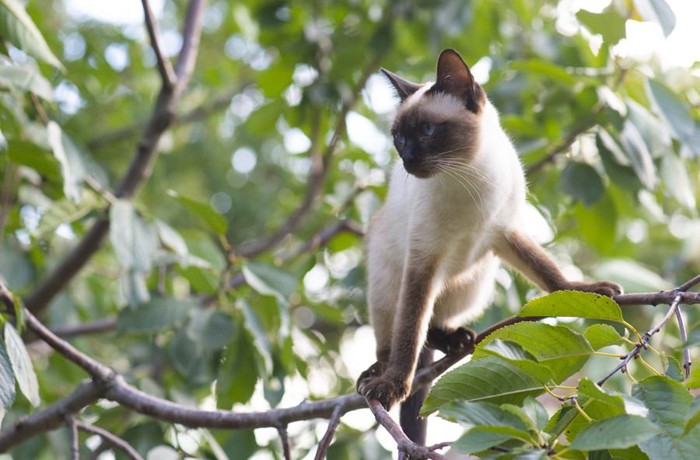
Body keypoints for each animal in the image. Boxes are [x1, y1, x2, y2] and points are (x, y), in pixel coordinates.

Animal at [358, 49, 620, 442]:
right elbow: (408, 336)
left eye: (427, 131)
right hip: (389, 279)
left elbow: (551, 274)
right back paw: (380, 370)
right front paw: (392, 386)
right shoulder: (422, 260)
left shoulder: (504, 233)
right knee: (400, 336)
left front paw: (587, 290)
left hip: (474, 283)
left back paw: (457, 339)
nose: (407, 160)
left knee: (433, 327)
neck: (466, 178)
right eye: (398, 138)